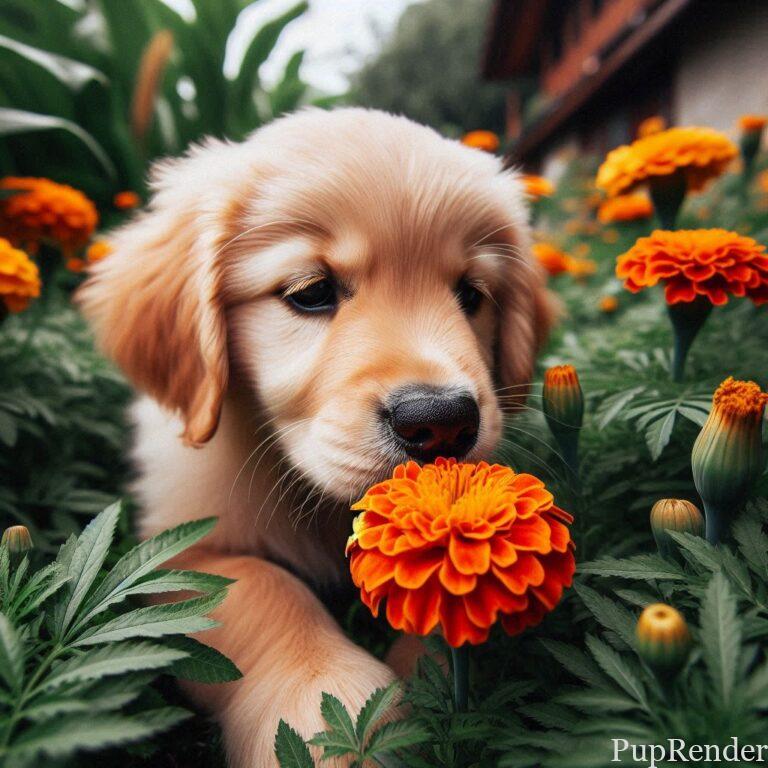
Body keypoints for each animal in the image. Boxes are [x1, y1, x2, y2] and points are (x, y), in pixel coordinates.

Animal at [78, 106, 552, 760]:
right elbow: (263, 585)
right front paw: (324, 699)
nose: (441, 421)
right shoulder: (180, 550)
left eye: (471, 295)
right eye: (311, 292)